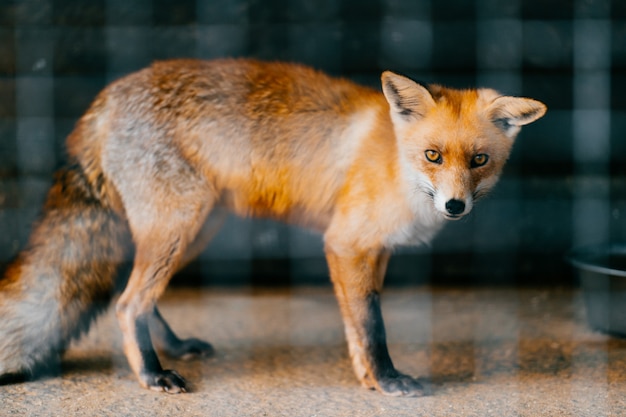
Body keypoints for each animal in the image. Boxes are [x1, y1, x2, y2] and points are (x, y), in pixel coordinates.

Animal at [0, 57, 544, 394]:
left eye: (478, 160)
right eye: (433, 156)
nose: (454, 206)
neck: (395, 162)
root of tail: (105, 98)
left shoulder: (373, 251)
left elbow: (358, 327)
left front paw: (369, 379)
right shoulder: (345, 243)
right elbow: (372, 326)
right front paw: (388, 381)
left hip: (195, 230)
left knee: (138, 297)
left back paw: (172, 347)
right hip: (179, 224)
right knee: (128, 302)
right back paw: (153, 375)